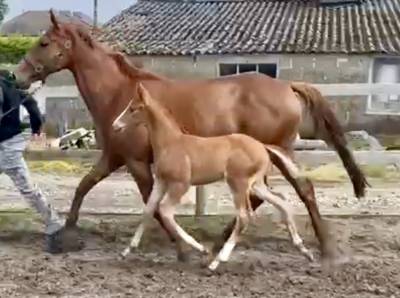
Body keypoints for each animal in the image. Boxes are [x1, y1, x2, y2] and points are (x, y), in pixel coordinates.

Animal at [111, 84, 312, 270]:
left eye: (133, 108)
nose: (115, 125)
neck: (171, 143)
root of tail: (262, 146)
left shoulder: (180, 184)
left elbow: (165, 212)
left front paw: (202, 249)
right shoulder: (161, 182)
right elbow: (148, 210)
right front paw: (126, 250)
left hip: (238, 183)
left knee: (244, 216)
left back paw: (216, 262)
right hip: (255, 185)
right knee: (281, 202)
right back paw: (304, 249)